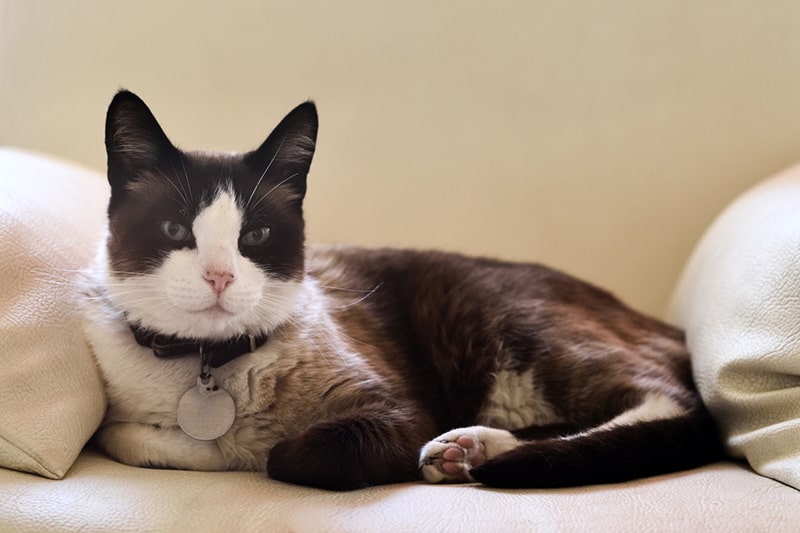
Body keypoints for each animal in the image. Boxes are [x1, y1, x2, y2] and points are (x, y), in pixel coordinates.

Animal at [83, 88, 724, 490]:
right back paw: (467, 452)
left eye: (256, 236)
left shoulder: (396, 410)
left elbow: (281, 454)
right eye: (175, 230)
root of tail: (663, 325)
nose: (220, 276)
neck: (206, 365)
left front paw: (244, 445)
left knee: (671, 402)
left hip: (501, 318)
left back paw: (473, 450)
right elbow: (126, 438)